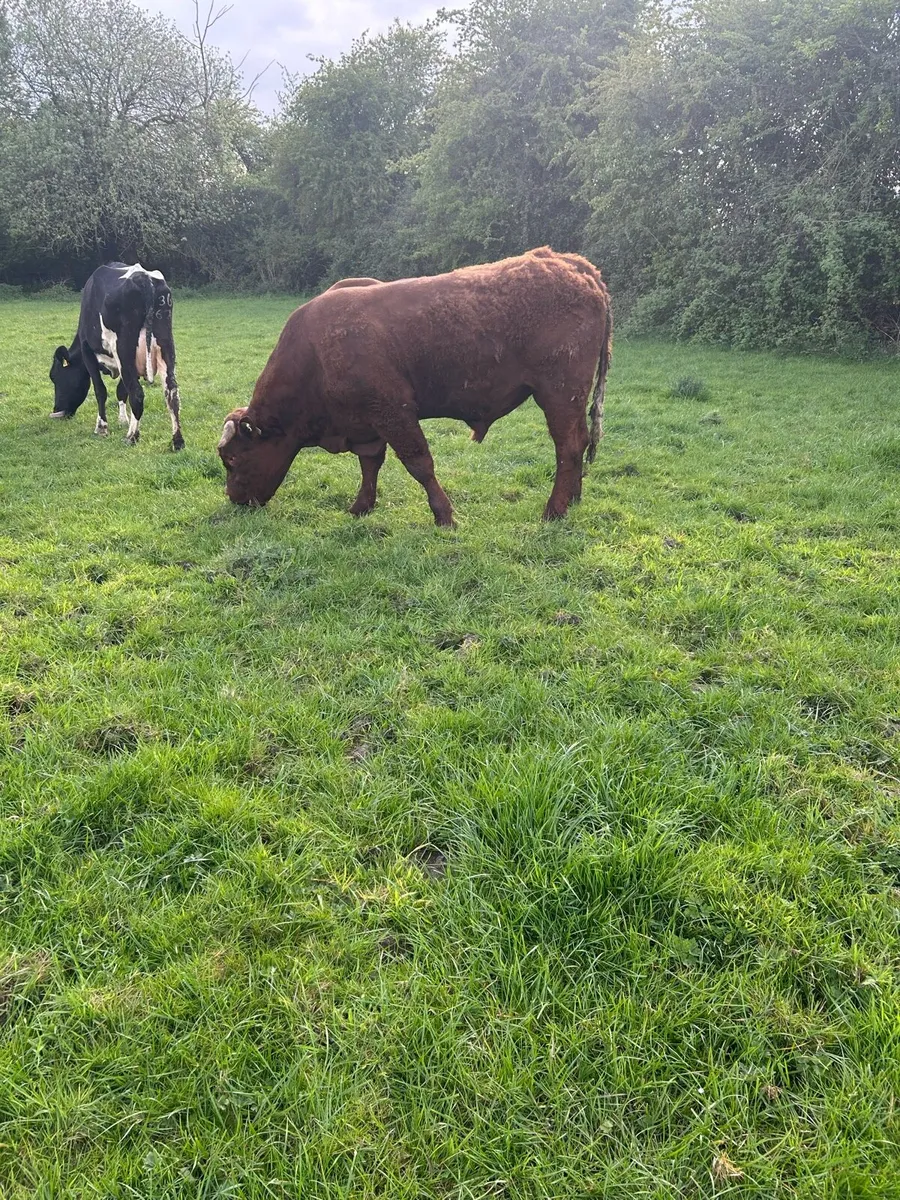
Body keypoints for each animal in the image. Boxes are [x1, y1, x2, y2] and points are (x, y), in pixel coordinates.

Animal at [49, 262, 184, 451]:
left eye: (55, 378)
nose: (57, 410)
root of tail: (144, 278)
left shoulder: (88, 351)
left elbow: (100, 390)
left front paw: (102, 427)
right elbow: (121, 391)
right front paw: (123, 419)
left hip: (124, 349)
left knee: (137, 393)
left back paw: (132, 437)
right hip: (166, 346)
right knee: (172, 393)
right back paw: (177, 441)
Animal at [217, 248, 612, 525]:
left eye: (233, 458)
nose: (233, 498)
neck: (315, 354)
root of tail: (573, 264)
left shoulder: (395, 412)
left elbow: (419, 463)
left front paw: (444, 516)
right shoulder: (367, 425)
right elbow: (370, 464)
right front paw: (361, 506)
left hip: (560, 394)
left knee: (568, 446)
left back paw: (555, 510)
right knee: (578, 444)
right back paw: (574, 499)